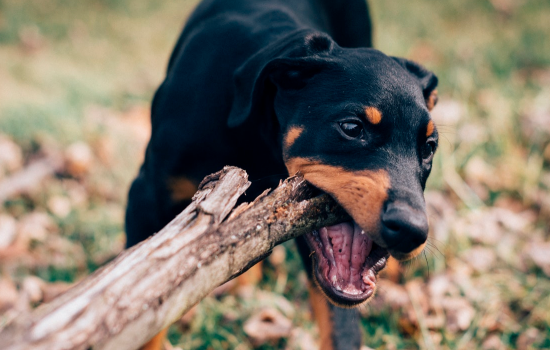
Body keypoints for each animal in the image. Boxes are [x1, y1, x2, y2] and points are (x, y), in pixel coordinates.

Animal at [125, 0, 440, 348]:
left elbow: (340, 327)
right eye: (351, 127)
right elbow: (146, 316)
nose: (412, 231)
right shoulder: (144, 199)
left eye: (429, 147)